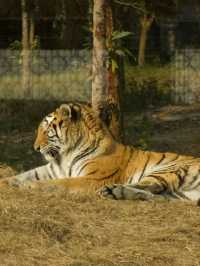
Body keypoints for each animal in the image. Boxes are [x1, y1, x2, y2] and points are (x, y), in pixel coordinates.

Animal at [1, 101, 200, 205]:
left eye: (46, 130)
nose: (35, 148)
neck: (64, 155)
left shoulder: (93, 179)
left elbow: (60, 183)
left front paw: (31, 186)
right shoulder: (50, 170)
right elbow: (24, 174)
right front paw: (7, 182)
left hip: (168, 170)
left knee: (151, 187)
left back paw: (112, 190)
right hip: (182, 194)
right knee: (160, 198)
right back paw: (113, 192)